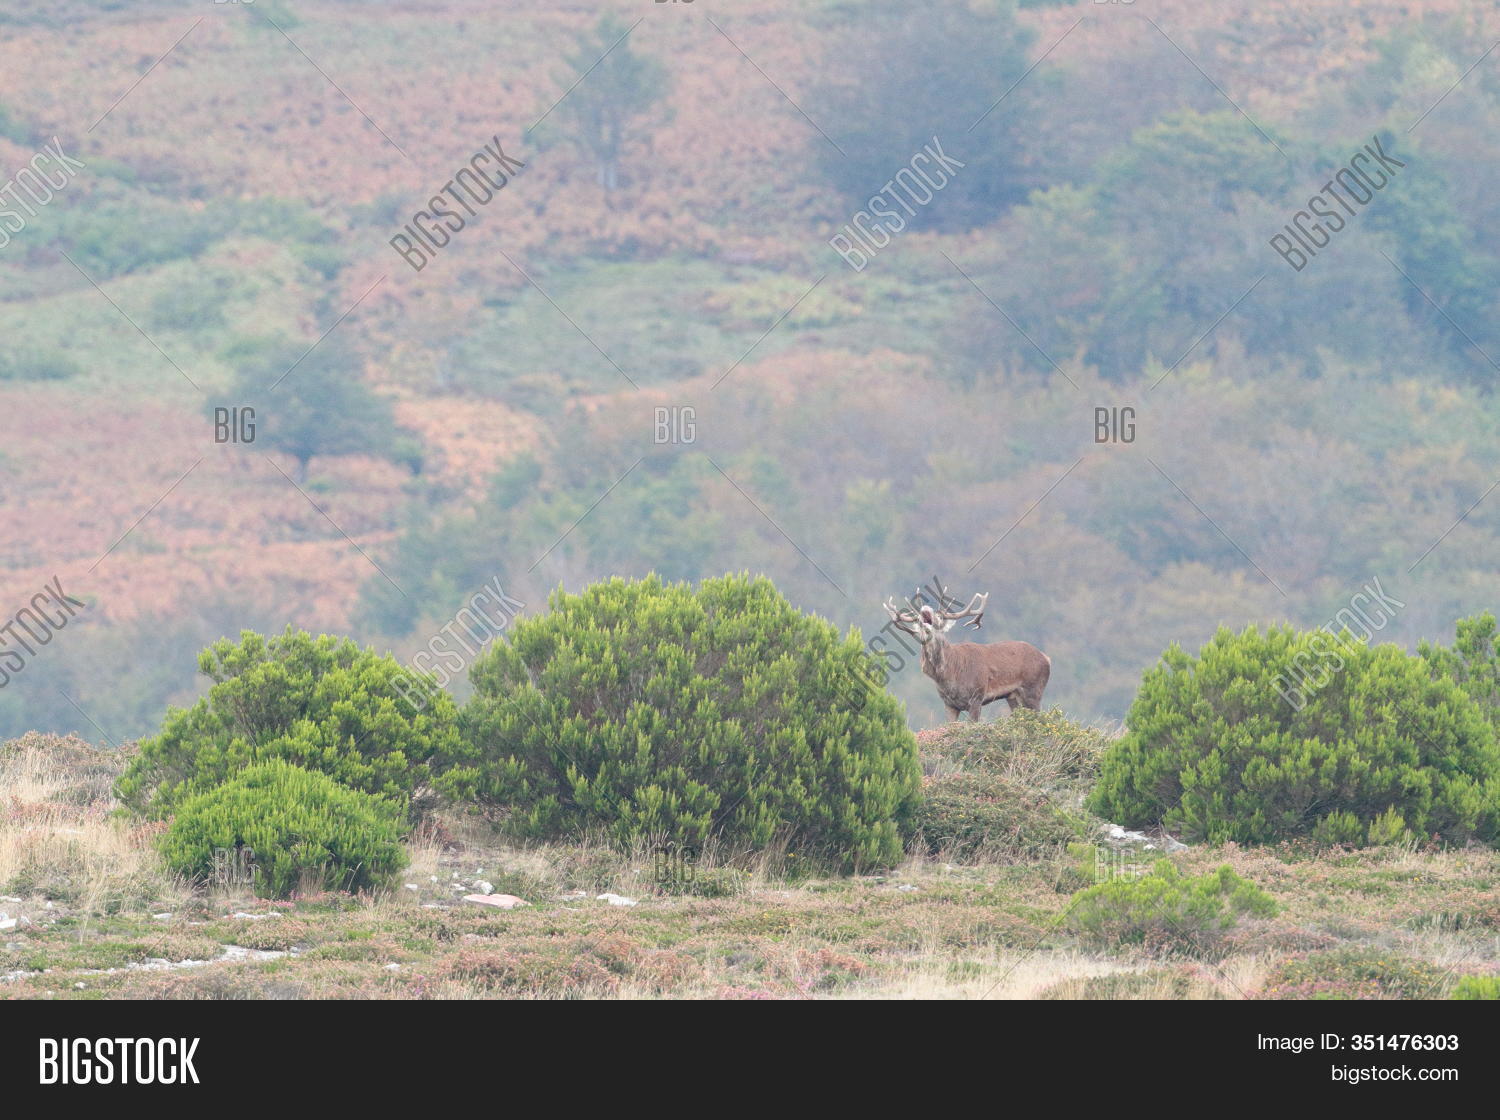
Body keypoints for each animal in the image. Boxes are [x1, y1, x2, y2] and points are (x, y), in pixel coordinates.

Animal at [883, 577, 1050, 721]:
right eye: (918, 619)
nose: (925, 608)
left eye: (939, 618)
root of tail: (1047, 658)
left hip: (1033, 689)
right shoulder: (949, 703)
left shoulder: (977, 696)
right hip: (1013, 696)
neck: (949, 674)